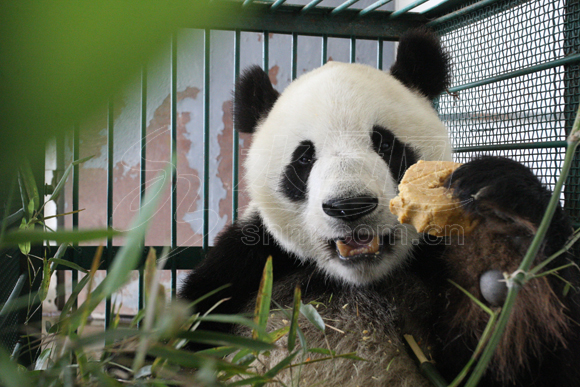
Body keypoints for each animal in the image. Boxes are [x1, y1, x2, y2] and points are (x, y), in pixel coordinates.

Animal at [180, 31, 580, 387]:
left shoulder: (437, 262)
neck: (358, 281)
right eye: (305, 158)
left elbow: (531, 363)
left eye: (385, 145)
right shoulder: (246, 266)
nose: (349, 206)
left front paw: (509, 214)